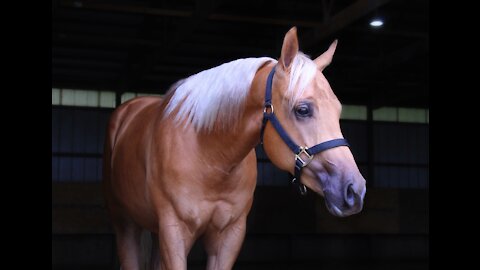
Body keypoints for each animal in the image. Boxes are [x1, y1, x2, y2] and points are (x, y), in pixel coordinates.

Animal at [103, 25, 366, 270]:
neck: (209, 157)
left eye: (338, 110)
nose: (355, 190)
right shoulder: (173, 230)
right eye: (303, 109)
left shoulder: (229, 236)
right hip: (125, 223)